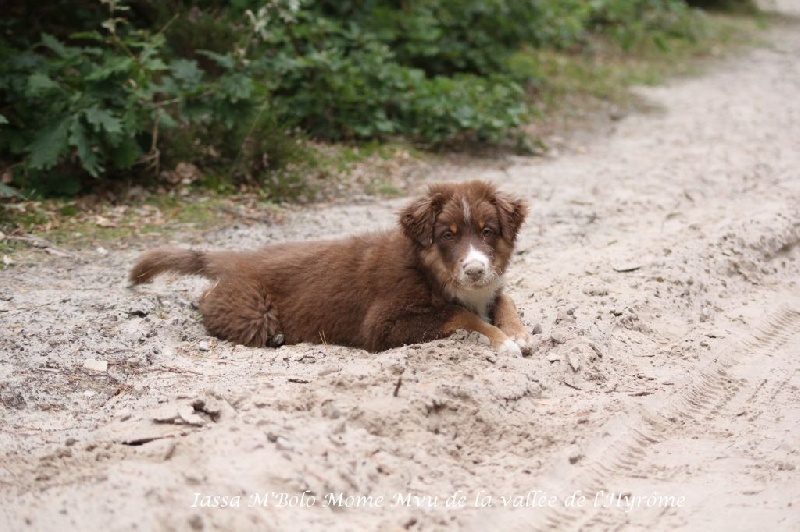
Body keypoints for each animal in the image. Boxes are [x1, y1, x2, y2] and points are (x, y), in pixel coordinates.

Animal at [130, 181, 532, 356]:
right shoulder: (383, 324)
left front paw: (518, 333)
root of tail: (243, 257)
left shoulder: (490, 288)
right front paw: (502, 340)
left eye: (487, 231)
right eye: (447, 235)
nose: (475, 270)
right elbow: (460, 315)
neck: (429, 271)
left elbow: (505, 300)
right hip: (252, 311)